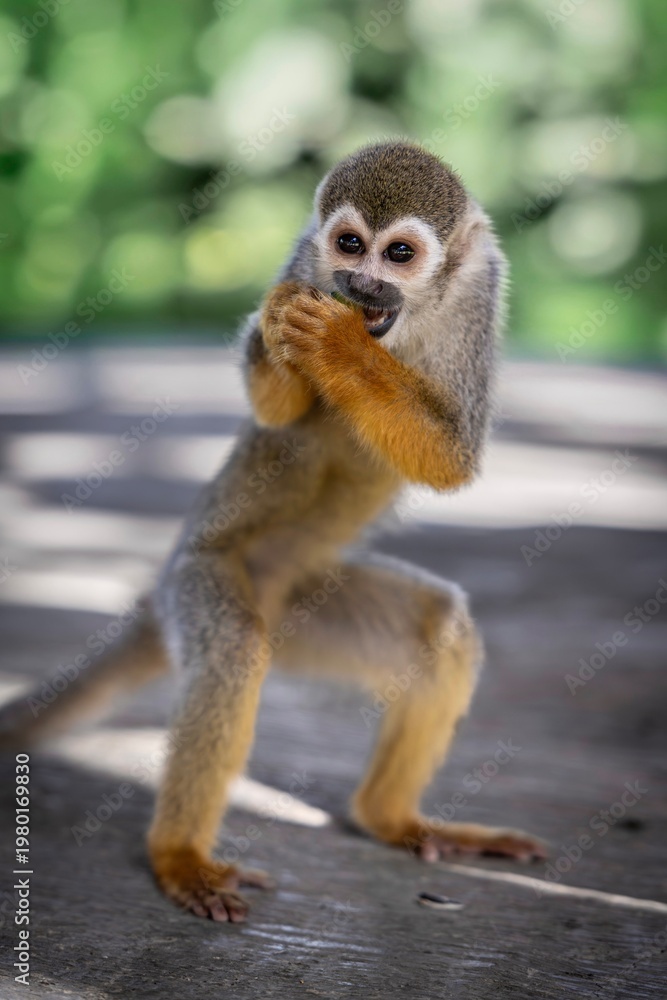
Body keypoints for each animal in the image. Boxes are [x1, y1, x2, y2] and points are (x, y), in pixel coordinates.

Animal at [0, 141, 546, 923]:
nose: (358, 283)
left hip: (307, 605)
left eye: (398, 254)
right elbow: (277, 409)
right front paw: (300, 333)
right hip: (197, 582)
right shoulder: (299, 264)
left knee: (437, 628)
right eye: (348, 245)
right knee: (231, 650)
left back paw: (389, 818)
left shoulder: (480, 294)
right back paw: (180, 856)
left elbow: (452, 455)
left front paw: (341, 349)